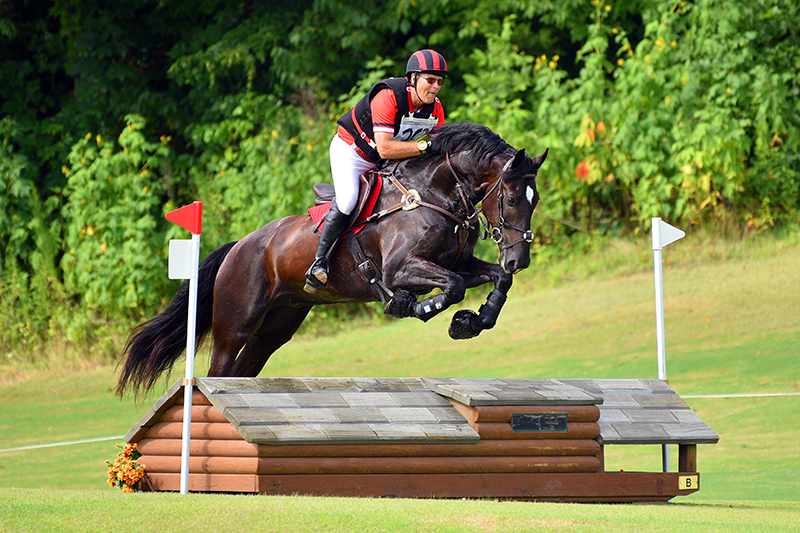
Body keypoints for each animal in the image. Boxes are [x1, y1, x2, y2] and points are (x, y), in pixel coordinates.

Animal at [115, 120, 548, 394]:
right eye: (512, 199)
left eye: (536, 199)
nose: (520, 259)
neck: (435, 192)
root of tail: (238, 246)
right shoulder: (398, 270)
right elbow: (452, 287)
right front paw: (420, 308)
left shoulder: (458, 262)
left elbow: (494, 279)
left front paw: (474, 321)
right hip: (234, 325)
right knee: (219, 369)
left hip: (277, 326)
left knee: (245, 367)